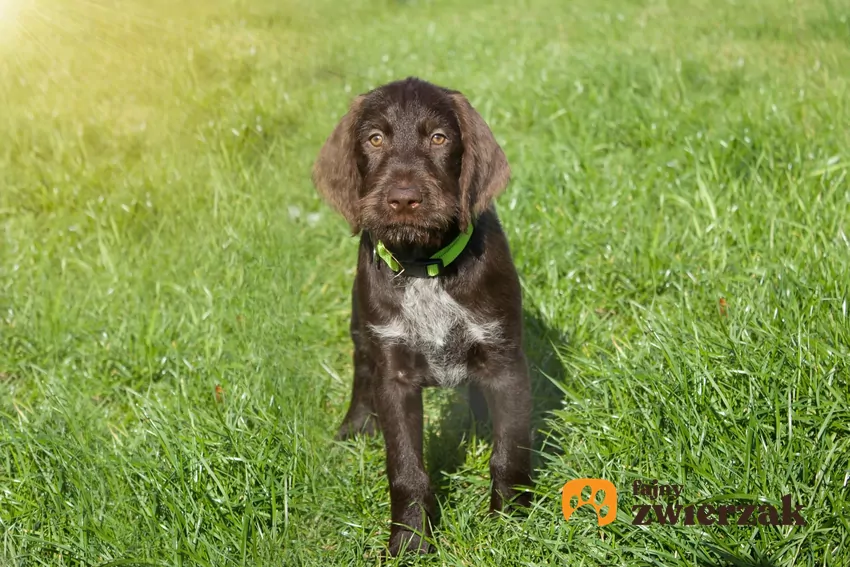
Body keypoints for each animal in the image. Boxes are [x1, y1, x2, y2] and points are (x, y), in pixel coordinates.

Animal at [312, 77, 528, 556]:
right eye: (375, 139)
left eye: (439, 138)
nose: (403, 199)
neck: (423, 265)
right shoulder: (394, 375)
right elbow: (405, 467)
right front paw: (410, 541)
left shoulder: (505, 361)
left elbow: (510, 452)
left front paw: (514, 525)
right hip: (361, 329)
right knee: (361, 368)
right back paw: (355, 427)